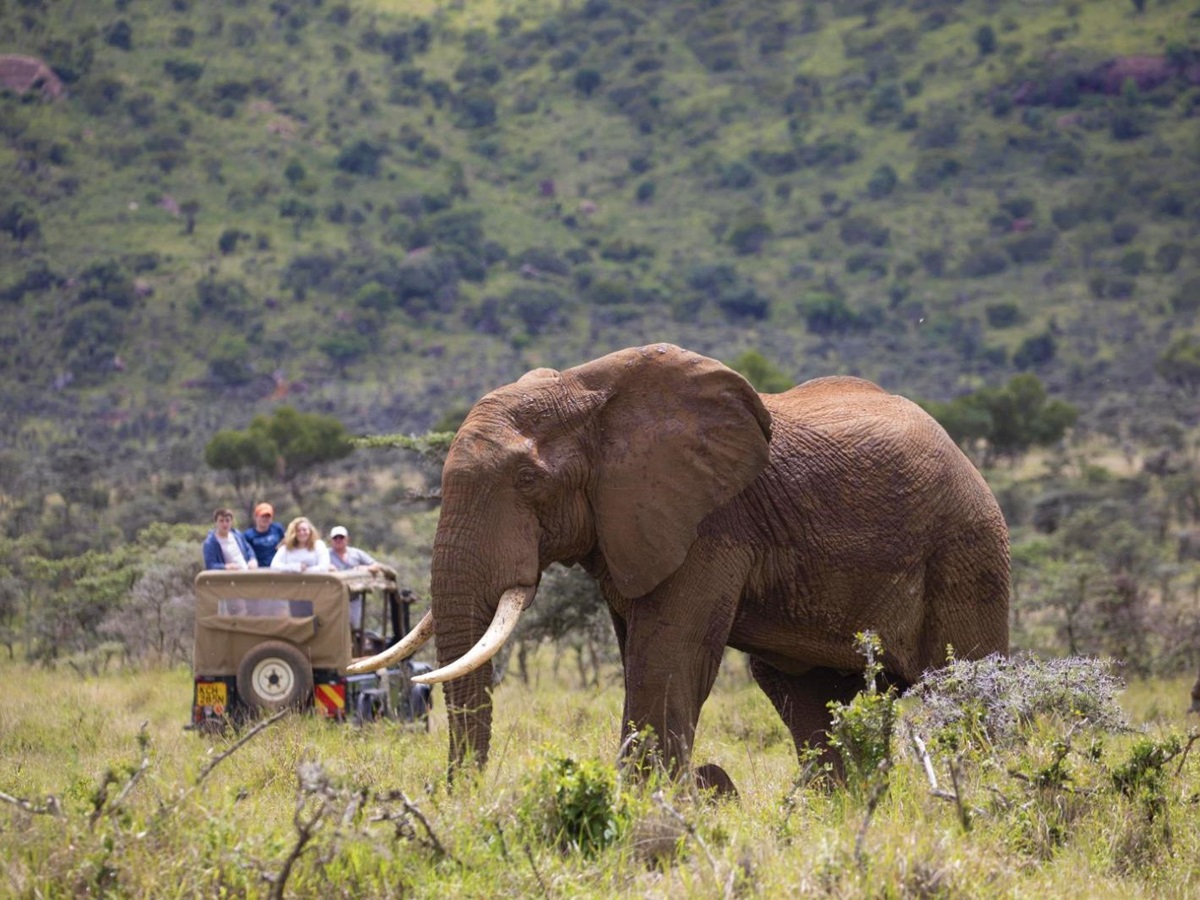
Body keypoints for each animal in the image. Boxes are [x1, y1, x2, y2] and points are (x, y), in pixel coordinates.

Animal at [350, 343, 1009, 789]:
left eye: (529, 481)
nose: (453, 791)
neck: (585, 393)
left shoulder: (710, 524)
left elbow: (668, 656)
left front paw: (648, 800)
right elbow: (642, 652)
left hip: (968, 549)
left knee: (966, 686)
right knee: (809, 698)